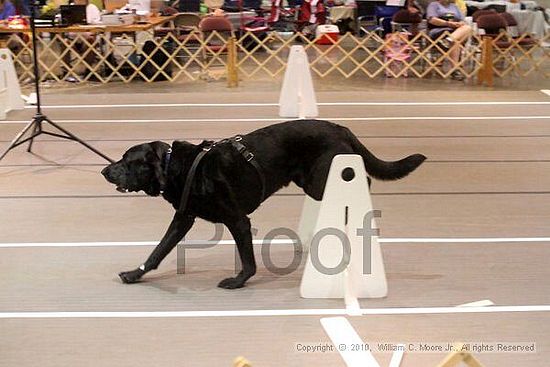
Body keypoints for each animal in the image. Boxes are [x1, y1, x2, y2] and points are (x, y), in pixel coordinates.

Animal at [101, 121, 426, 290]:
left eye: (127, 161)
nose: (104, 171)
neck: (177, 168)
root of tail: (341, 128)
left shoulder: (238, 220)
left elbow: (247, 259)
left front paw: (238, 281)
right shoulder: (183, 218)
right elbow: (158, 251)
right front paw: (135, 274)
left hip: (323, 179)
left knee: (362, 181)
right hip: (313, 182)